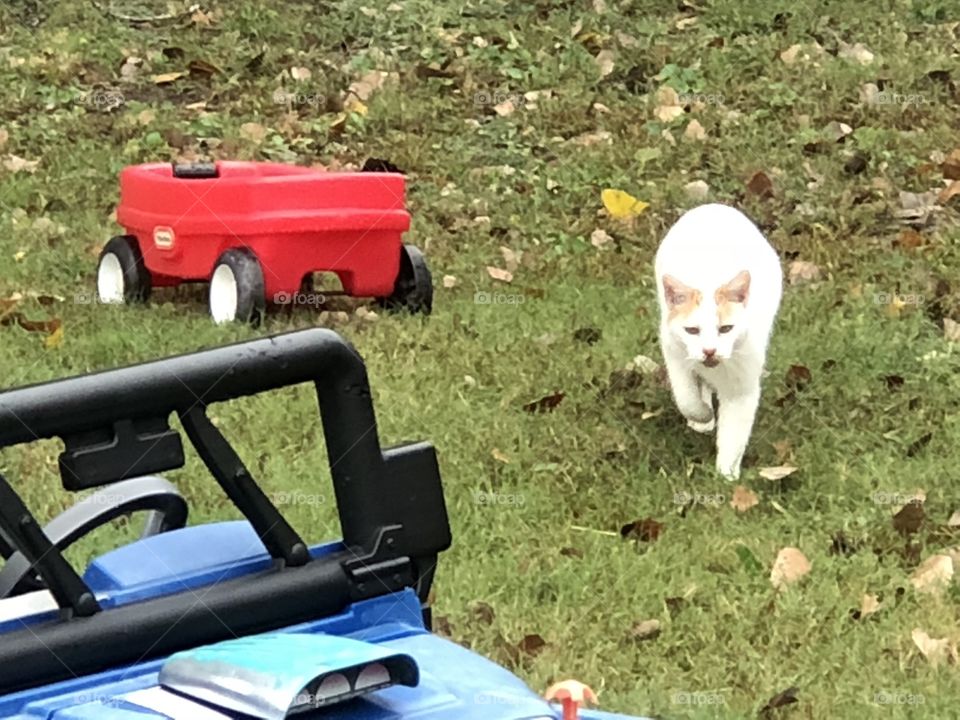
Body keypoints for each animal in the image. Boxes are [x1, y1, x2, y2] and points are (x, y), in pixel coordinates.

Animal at [656, 202, 784, 478]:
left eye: (726, 329)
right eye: (692, 330)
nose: (709, 351)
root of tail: (714, 206)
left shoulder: (742, 387)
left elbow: (733, 435)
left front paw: (726, 476)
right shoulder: (675, 354)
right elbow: (687, 398)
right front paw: (702, 416)